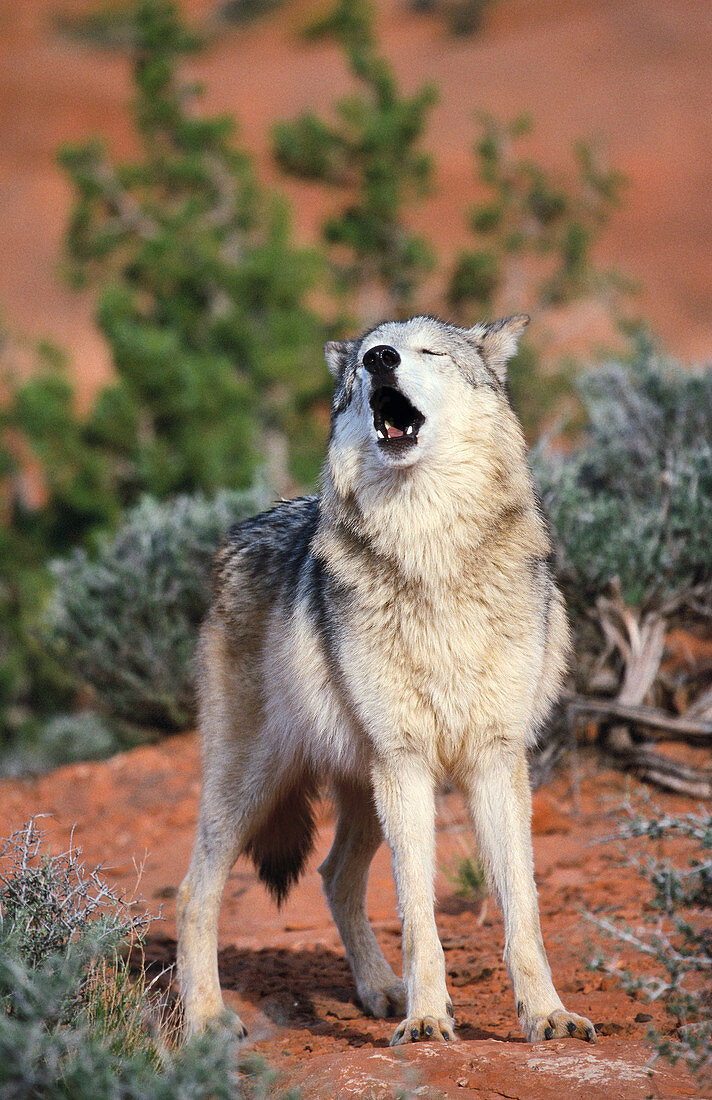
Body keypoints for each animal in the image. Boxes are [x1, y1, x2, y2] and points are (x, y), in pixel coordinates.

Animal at [177, 316, 594, 1047]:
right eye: (369, 358)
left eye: (427, 351)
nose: (378, 359)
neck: (431, 557)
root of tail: (239, 532)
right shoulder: (405, 764)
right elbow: (419, 914)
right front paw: (426, 1018)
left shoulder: (495, 760)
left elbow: (522, 910)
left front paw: (546, 1013)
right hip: (254, 786)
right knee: (195, 894)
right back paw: (204, 1018)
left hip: (358, 791)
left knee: (334, 878)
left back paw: (378, 989)